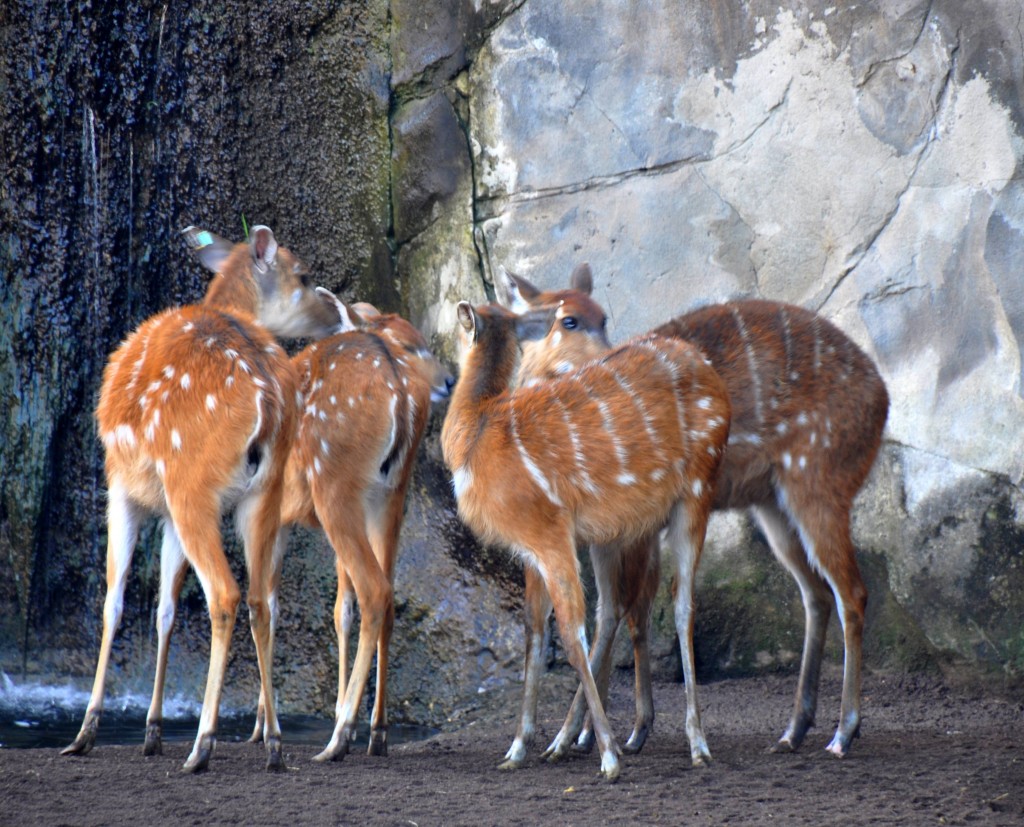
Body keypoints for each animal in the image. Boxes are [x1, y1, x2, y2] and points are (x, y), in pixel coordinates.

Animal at [61, 223, 337, 773]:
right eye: (303, 274)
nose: (336, 313)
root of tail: (267, 399)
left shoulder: (120, 485)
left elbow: (114, 601)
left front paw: (86, 732)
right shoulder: (165, 511)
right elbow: (164, 608)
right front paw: (150, 732)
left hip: (193, 484)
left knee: (225, 593)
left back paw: (203, 744)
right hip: (262, 494)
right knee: (260, 598)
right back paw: (272, 743)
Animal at [266, 286, 450, 757]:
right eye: (410, 342)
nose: (448, 380)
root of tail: (400, 390)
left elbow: (269, 603)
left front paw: (264, 727)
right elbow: (335, 607)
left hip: (335, 484)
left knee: (375, 590)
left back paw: (340, 735)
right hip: (391, 493)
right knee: (387, 595)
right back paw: (377, 730)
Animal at [440, 300, 729, 777]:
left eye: (458, 325)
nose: (443, 378)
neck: (478, 434)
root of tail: (712, 377)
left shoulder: (548, 532)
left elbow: (570, 636)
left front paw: (608, 758)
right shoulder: (530, 548)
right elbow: (534, 632)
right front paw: (517, 749)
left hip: (696, 491)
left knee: (682, 604)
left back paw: (697, 744)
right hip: (618, 529)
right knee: (620, 607)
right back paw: (579, 739)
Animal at [503, 266, 888, 761]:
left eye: (602, 317)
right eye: (568, 319)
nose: (608, 359)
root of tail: (883, 401)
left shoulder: (629, 527)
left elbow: (616, 611)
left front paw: (575, 736)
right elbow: (570, 616)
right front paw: (602, 734)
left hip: (817, 484)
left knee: (851, 592)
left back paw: (842, 733)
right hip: (772, 506)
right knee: (816, 594)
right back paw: (792, 732)